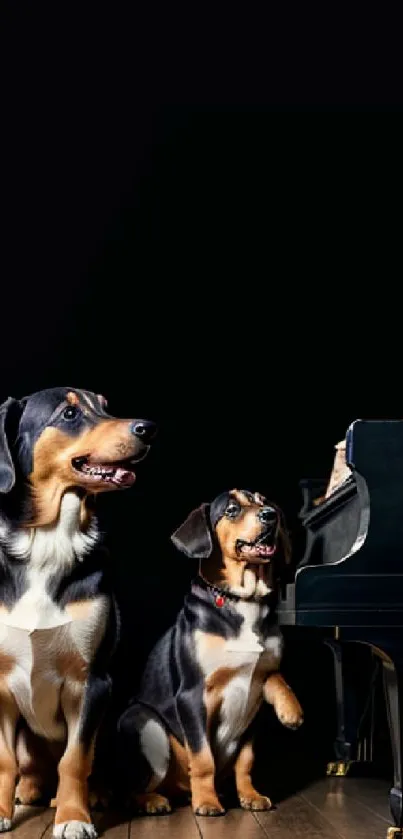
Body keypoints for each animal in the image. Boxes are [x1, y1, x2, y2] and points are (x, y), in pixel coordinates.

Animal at [0, 388, 156, 839]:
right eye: (69, 414)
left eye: (105, 406)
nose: (148, 428)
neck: (49, 543)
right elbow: (5, 760)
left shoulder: (91, 681)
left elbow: (75, 759)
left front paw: (72, 816)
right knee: (29, 766)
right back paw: (31, 791)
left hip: (126, 720)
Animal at [118, 488, 304, 816]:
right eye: (231, 510)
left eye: (263, 501)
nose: (271, 514)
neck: (243, 600)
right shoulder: (192, 694)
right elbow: (203, 757)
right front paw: (206, 801)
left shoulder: (258, 687)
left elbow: (248, 756)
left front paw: (290, 710)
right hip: (145, 724)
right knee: (132, 787)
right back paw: (155, 801)